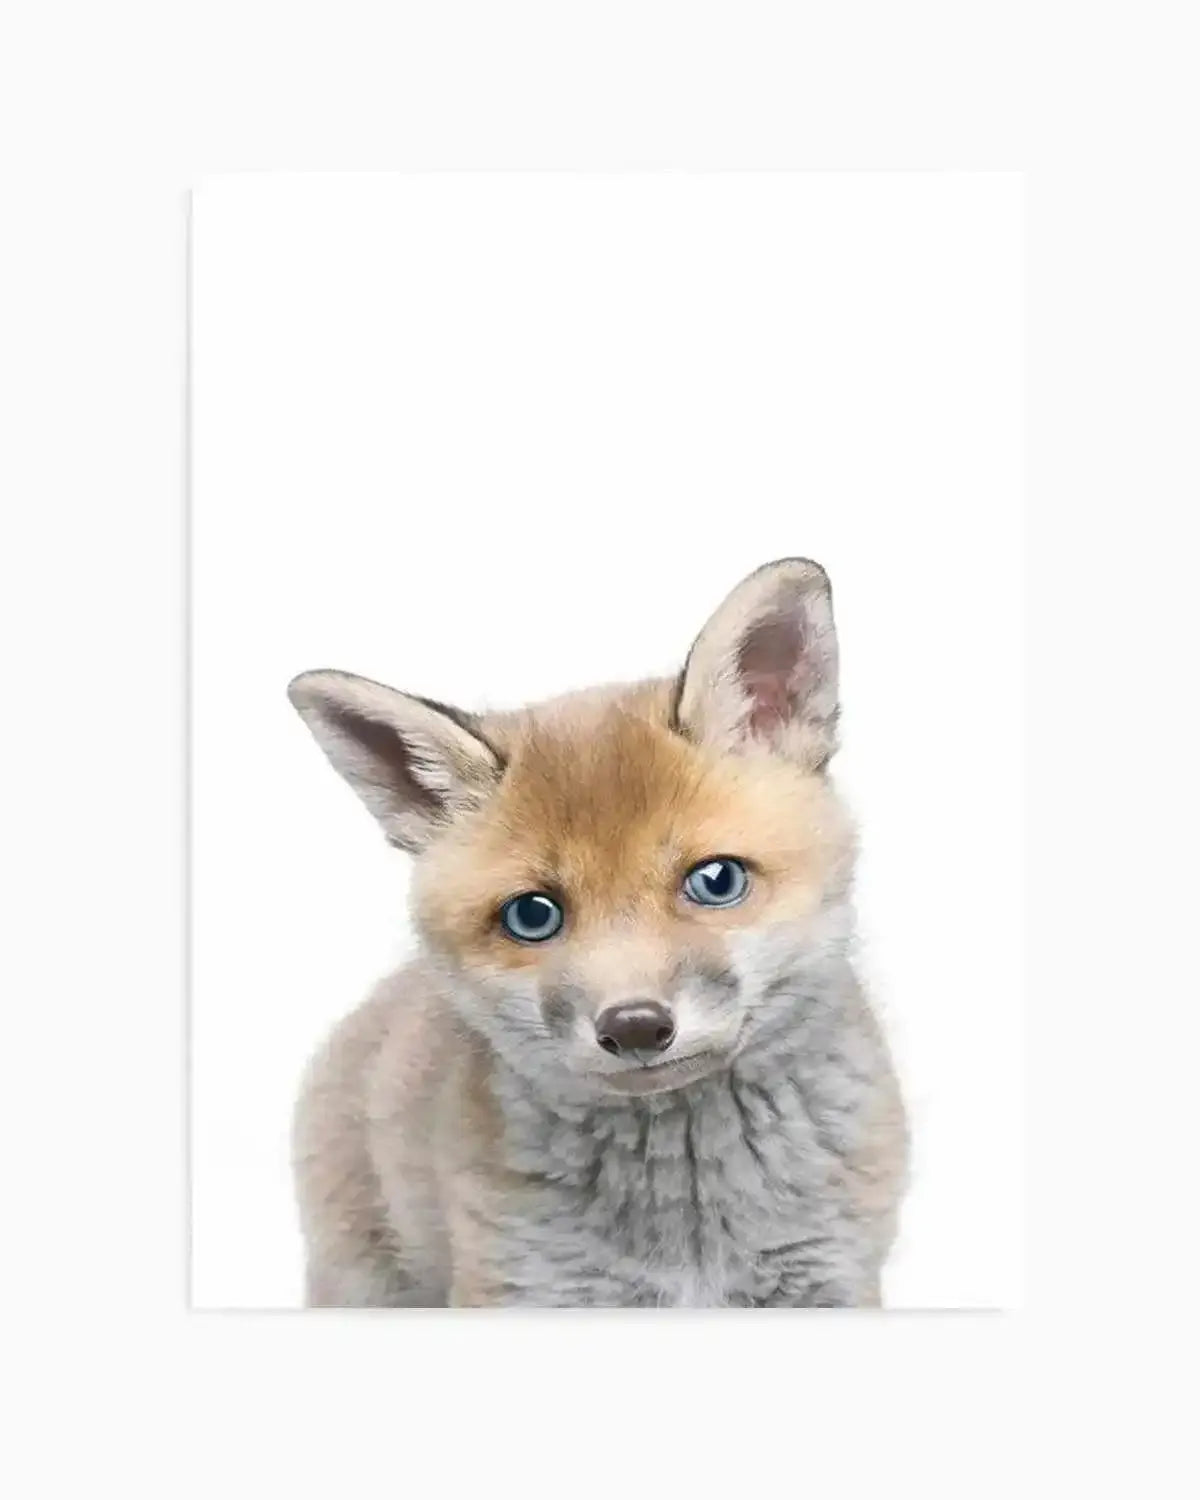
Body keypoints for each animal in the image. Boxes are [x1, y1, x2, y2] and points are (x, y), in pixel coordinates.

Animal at [287, 557, 908, 1308]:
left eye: (716, 881)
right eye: (533, 915)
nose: (636, 1027)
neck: (689, 1226)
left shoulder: (829, 1277)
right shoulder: (526, 1285)